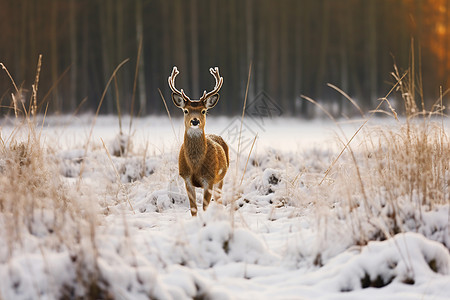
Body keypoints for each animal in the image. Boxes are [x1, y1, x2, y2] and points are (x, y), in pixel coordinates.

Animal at [170, 66, 230, 216]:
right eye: (185, 110)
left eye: (203, 111)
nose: (195, 121)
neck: (195, 165)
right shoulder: (186, 178)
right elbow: (193, 209)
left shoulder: (209, 179)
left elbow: (205, 207)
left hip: (220, 179)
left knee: (219, 200)